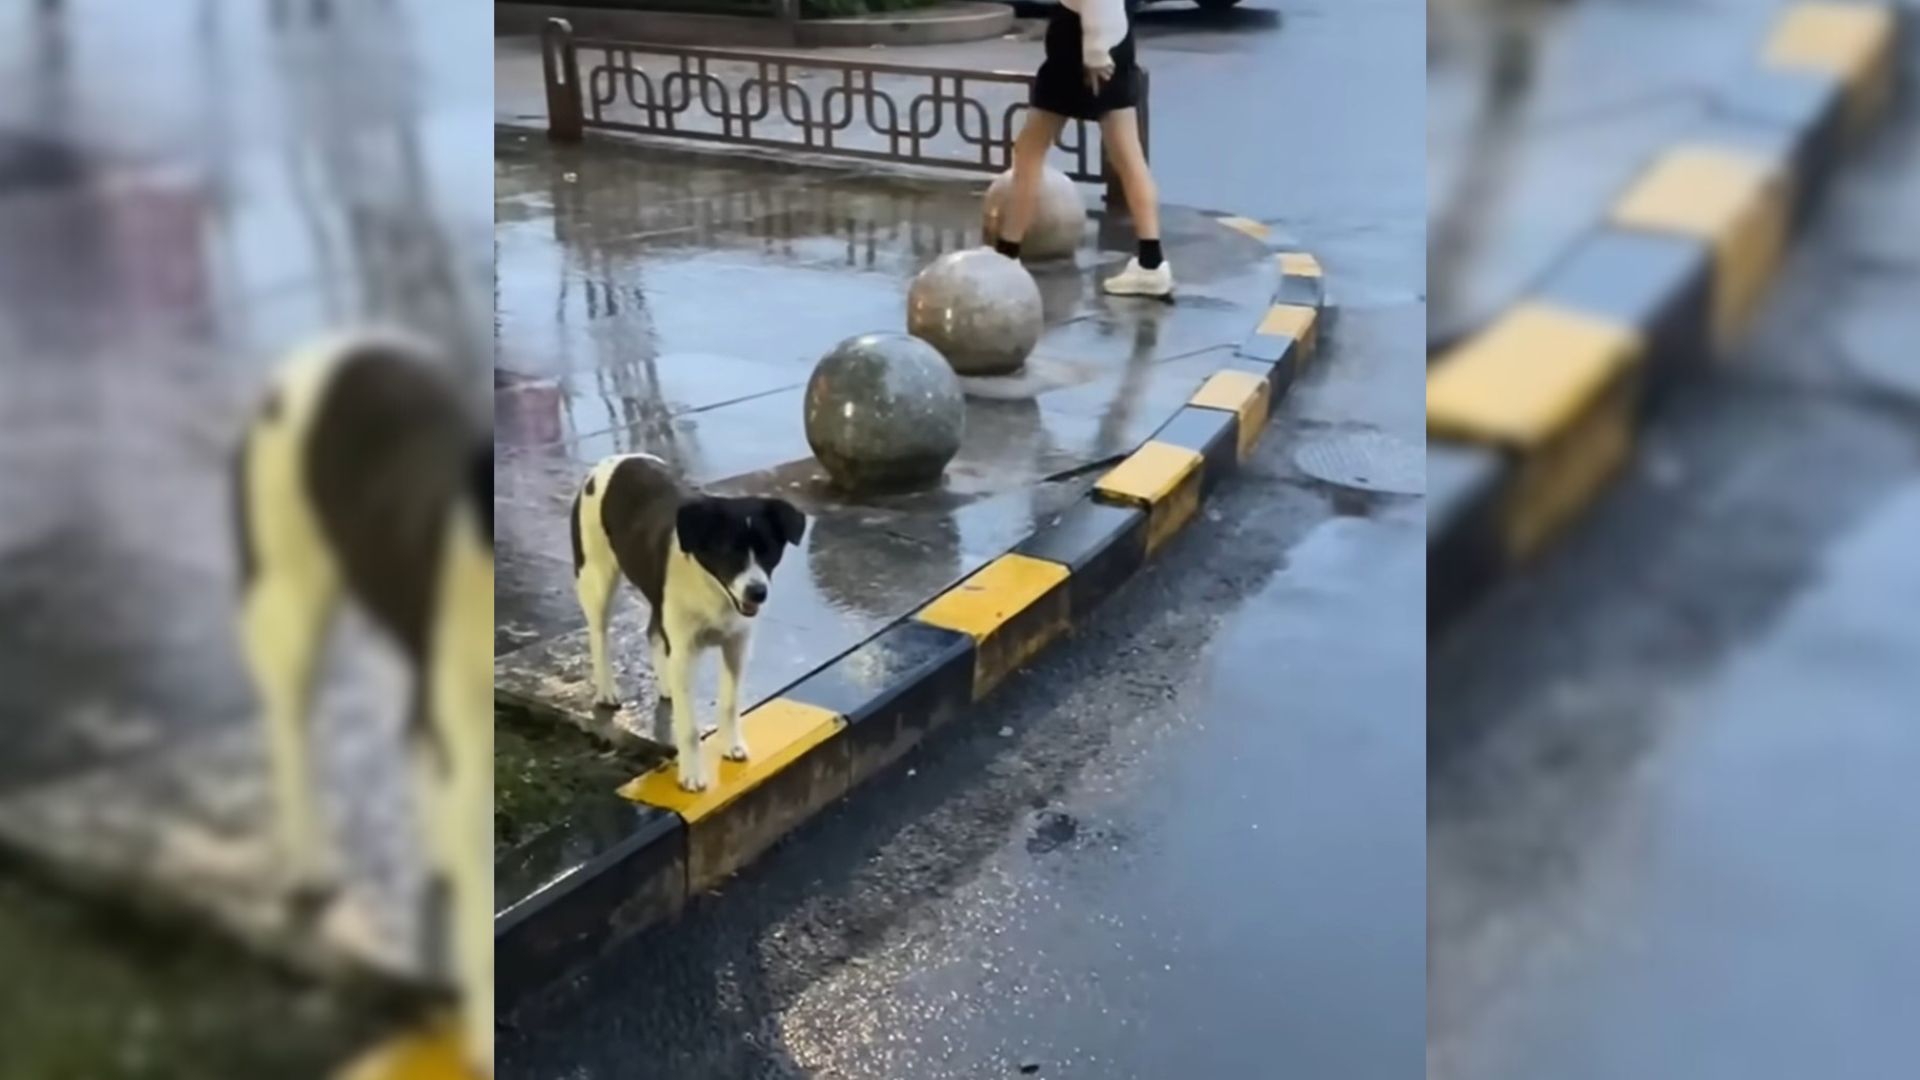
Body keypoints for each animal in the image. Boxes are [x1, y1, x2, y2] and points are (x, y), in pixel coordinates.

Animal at [572, 449, 806, 787]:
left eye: (769, 551)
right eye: (729, 550)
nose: (758, 592)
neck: (712, 589)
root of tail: (615, 458)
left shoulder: (737, 645)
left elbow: (730, 703)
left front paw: (732, 745)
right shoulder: (685, 651)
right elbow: (690, 727)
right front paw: (692, 774)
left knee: (652, 633)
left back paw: (666, 684)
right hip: (596, 576)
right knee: (598, 632)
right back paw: (607, 689)